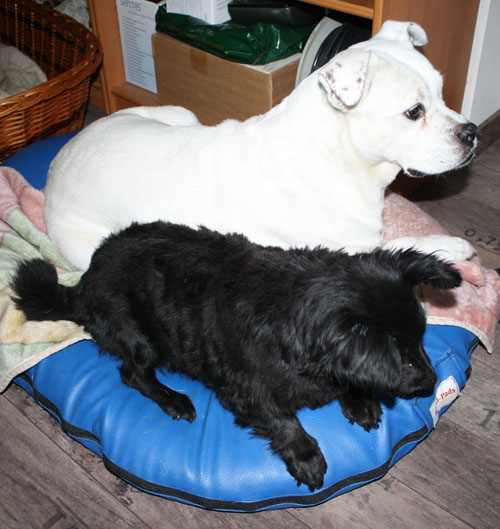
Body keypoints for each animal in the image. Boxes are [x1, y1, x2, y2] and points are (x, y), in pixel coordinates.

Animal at [12, 221, 462, 491]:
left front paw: (359, 399)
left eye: (421, 341)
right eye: (403, 360)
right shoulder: (244, 392)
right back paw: (174, 400)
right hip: (139, 337)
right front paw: (306, 455)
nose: (430, 384)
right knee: (133, 375)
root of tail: (80, 287)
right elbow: (284, 421)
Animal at [42, 20, 477, 271]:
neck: (339, 157)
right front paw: (449, 246)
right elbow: (397, 245)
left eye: (441, 91)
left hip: (179, 114)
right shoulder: (342, 252)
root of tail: (58, 162)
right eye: (414, 112)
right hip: (87, 244)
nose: (471, 132)